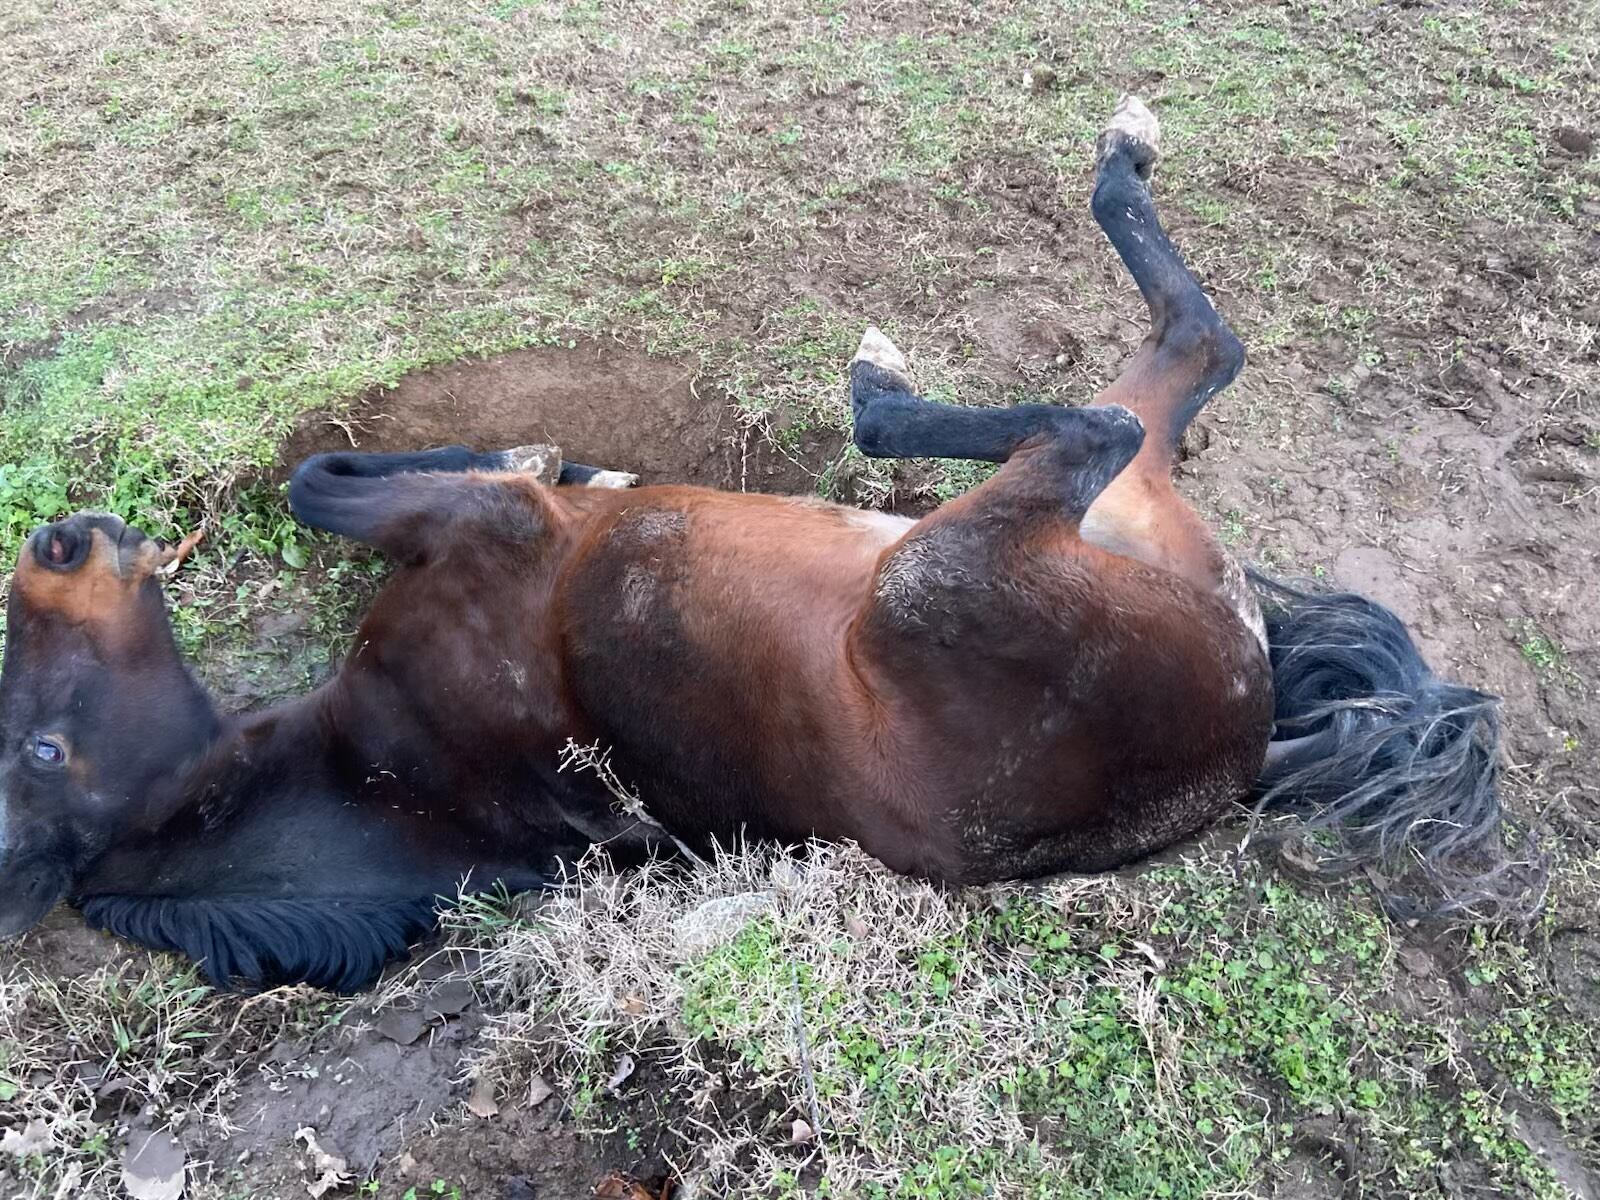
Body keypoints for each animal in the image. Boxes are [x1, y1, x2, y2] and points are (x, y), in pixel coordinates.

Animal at [0, 98, 1528, 992]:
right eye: (42, 751)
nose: (60, 538)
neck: (401, 762)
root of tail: (1240, 740)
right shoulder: (489, 532)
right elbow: (361, 483)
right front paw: (562, 459)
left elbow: (323, 475)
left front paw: (570, 451)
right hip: (969, 556)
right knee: (1107, 403)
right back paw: (919, 338)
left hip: (1115, 515)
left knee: (1172, 362)